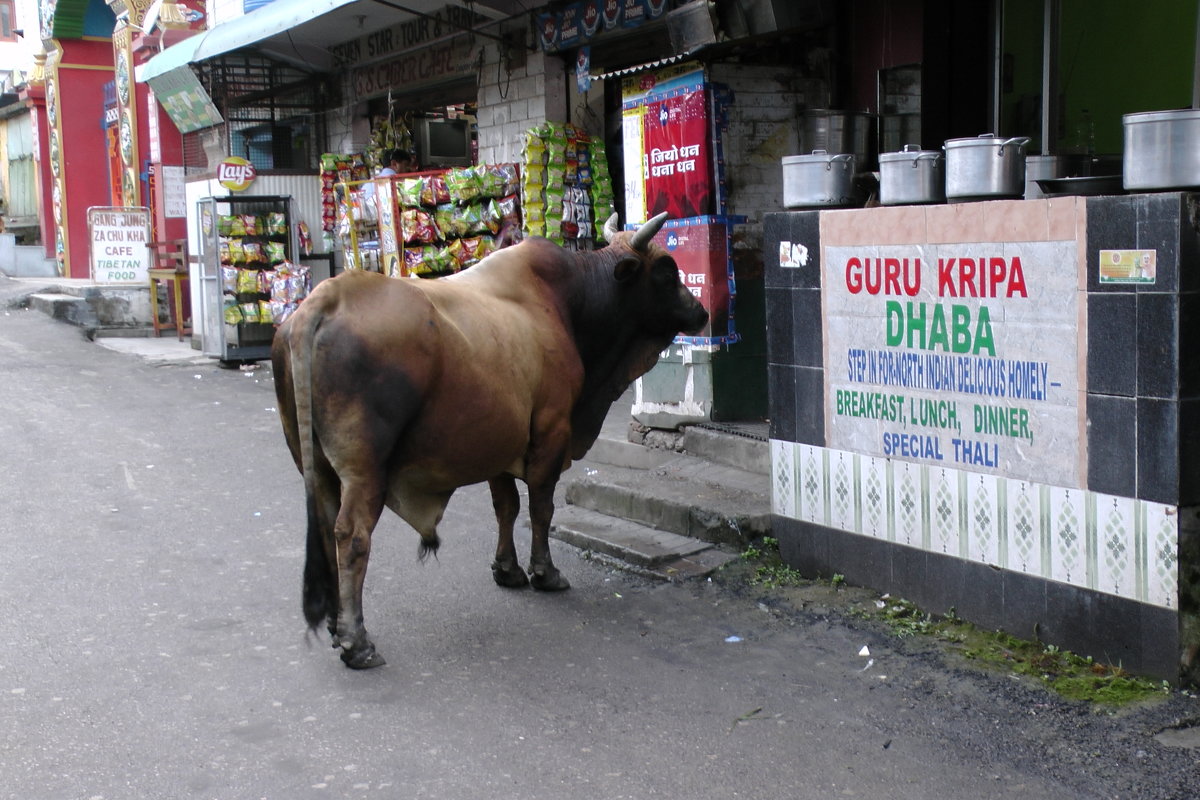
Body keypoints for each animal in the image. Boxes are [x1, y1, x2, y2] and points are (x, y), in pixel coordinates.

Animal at [270, 212, 710, 671]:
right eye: (666, 272)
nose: (701, 311)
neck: (571, 300)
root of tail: (323, 300)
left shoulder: (500, 440)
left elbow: (506, 507)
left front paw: (507, 569)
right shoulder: (552, 430)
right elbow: (540, 508)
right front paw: (544, 572)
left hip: (315, 465)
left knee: (325, 527)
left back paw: (336, 625)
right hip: (365, 470)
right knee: (352, 536)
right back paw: (357, 641)